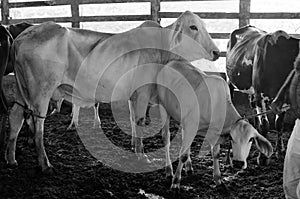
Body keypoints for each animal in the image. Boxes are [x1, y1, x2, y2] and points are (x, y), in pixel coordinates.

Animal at [5, 10, 220, 173]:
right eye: (193, 27)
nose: (216, 52)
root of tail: (21, 37)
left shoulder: (134, 96)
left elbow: (133, 120)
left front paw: (134, 146)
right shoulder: (142, 93)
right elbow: (140, 122)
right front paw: (142, 156)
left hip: (22, 91)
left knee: (16, 117)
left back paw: (11, 158)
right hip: (41, 91)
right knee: (38, 125)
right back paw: (45, 163)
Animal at [144, 60, 274, 191]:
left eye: (251, 139)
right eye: (231, 138)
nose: (238, 163)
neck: (217, 105)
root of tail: (171, 63)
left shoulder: (207, 130)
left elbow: (215, 154)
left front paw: (218, 180)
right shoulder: (191, 125)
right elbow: (183, 155)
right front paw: (176, 182)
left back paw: (189, 166)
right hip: (164, 108)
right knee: (166, 137)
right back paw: (169, 170)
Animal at [226, 24, 298, 164]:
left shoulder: (282, 101)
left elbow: (279, 124)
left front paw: (279, 151)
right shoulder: (260, 96)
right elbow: (265, 125)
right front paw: (263, 157)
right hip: (230, 81)